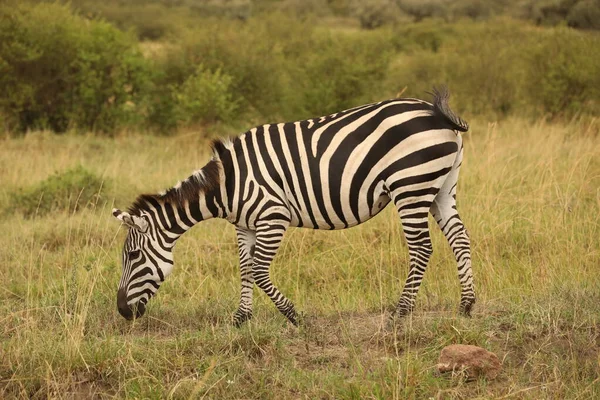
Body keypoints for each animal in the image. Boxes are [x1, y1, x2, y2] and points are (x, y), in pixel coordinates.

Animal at [112, 86, 476, 324]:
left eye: (133, 256)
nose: (122, 312)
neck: (228, 185)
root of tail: (436, 113)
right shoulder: (245, 225)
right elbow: (245, 268)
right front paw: (241, 318)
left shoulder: (273, 217)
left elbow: (259, 270)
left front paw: (292, 315)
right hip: (441, 186)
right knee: (459, 238)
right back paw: (467, 305)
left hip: (411, 186)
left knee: (422, 247)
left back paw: (402, 311)